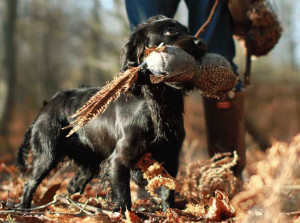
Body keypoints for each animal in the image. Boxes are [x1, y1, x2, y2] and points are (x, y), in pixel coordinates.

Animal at [16, 15, 206, 211]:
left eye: (187, 30)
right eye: (170, 31)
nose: (201, 43)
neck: (157, 102)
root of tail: (47, 105)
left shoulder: (171, 156)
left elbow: (168, 191)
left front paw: (171, 213)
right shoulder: (118, 159)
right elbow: (123, 196)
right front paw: (125, 214)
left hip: (89, 162)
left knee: (73, 185)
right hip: (47, 154)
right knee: (30, 183)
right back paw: (25, 209)